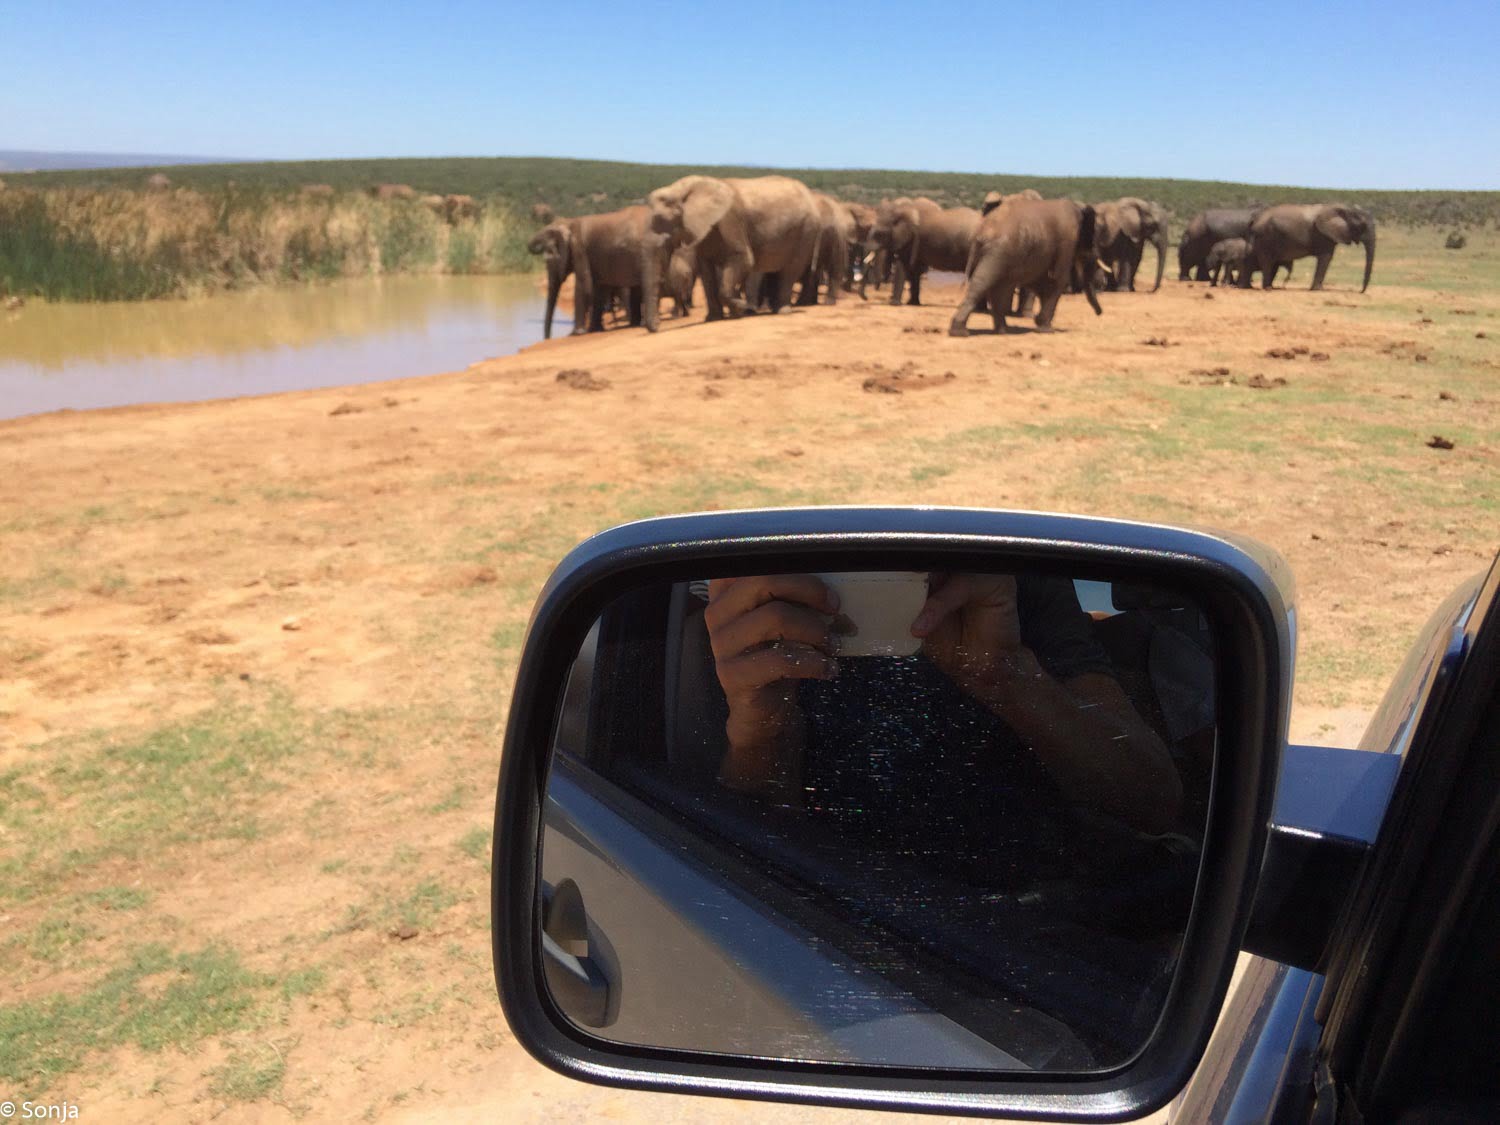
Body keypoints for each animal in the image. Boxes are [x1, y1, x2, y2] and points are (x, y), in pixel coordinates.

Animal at [525, 206, 670, 339]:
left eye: (549, 261)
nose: (548, 338)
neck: (569, 222)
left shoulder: (580, 250)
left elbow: (584, 286)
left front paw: (576, 333)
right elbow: (597, 289)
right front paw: (594, 330)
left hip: (646, 252)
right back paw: (638, 324)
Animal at [647, 175, 822, 320]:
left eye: (664, 220)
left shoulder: (730, 222)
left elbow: (744, 260)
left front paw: (741, 309)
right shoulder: (705, 231)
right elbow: (706, 271)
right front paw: (713, 319)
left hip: (806, 230)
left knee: (790, 270)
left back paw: (781, 311)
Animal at [948, 198, 1102, 337]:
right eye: (1092, 242)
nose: (1099, 313)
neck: (1078, 208)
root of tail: (981, 232)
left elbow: (1042, 281)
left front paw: (1040, 322)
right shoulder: (1067, 241)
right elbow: (1058, 280)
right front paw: (1046, 330)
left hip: (996, 254)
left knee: (998, 286)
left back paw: (1002, 331)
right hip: (998, 252)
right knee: (982, 283)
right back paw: (960, 333)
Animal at [1242, 204, 1376, 292]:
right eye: (1362, 225)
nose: (1360, 291)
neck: (1345, 209)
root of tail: (1254, 220)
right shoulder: (1323, 235)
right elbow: (1326, 258)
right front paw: (1319, 290)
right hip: (1265, 237)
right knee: (1268, 261)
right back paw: (1268, 288)